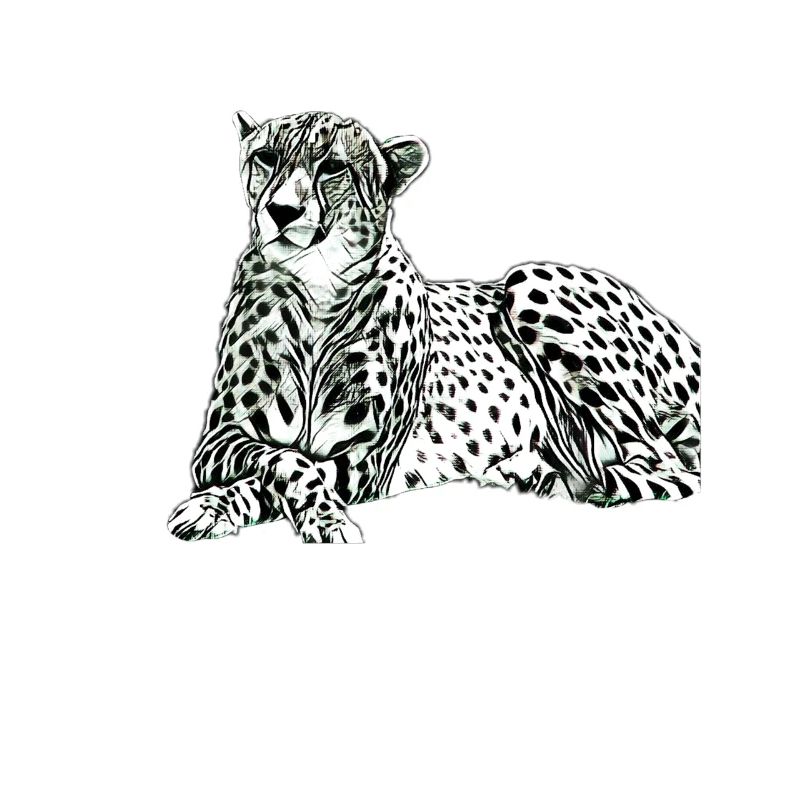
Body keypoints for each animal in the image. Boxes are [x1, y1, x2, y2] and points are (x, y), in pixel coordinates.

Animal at [168, 110, 700, 543]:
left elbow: (292, 469)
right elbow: (278, 459)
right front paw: (211, 507)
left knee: (669, 464)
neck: (319, 290)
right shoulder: (217, 440)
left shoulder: (367, 460)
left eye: (333, 167)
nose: (281, 210)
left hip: (529, 280)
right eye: (266, 157)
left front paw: (326, 520)